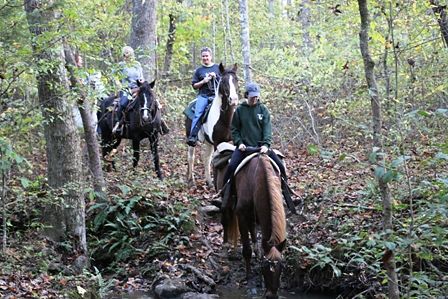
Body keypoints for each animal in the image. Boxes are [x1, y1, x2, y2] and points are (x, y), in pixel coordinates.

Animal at [224, 154, 288, 298]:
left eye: (282, 268)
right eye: (264, 267)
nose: (271, 296)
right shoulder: (241, 215)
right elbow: (246, 250)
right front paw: (248, 277)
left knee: (252, 228)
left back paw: (257, 250)